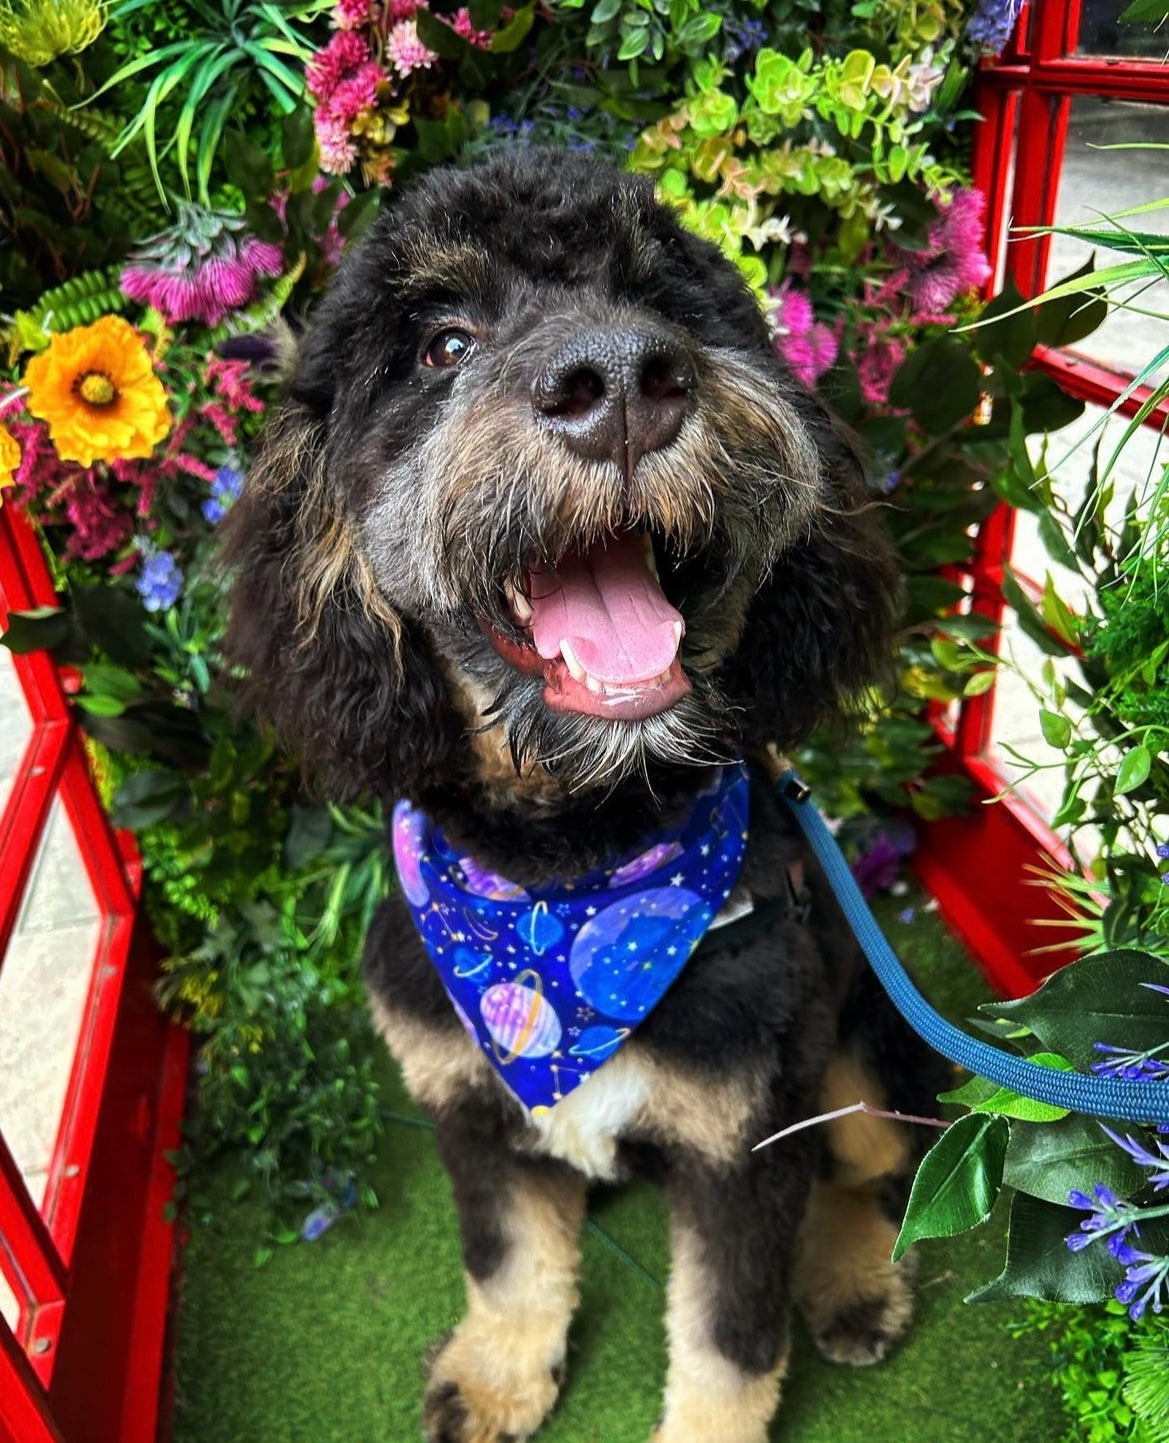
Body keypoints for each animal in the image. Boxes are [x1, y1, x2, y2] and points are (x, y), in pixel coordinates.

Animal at [220, 149, 946, 1443]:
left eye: (660, 301)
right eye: (439, 345)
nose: (618, 379)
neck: (568, 876)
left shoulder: (744, 1135)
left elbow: (727, 1337)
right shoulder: (466, 1099)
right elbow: (510, 1258)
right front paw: (500, 1370)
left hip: (856, 1048)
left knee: (868, 1174)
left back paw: (851, 1281)